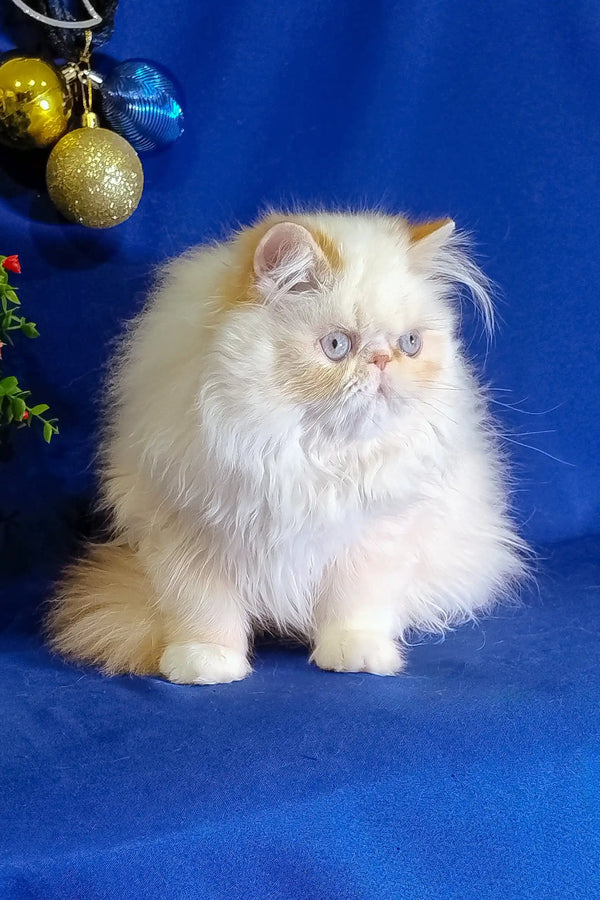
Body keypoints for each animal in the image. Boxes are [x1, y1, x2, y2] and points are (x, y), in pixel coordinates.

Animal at [47, 211, 524, 684]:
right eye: (336, 346)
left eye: (410, 344)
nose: (383, 361)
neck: (304, 455)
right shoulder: (190, 535)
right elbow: (204, 610)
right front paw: (207, 664)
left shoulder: (374, 536)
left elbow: (354, 605)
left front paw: (356, 655)